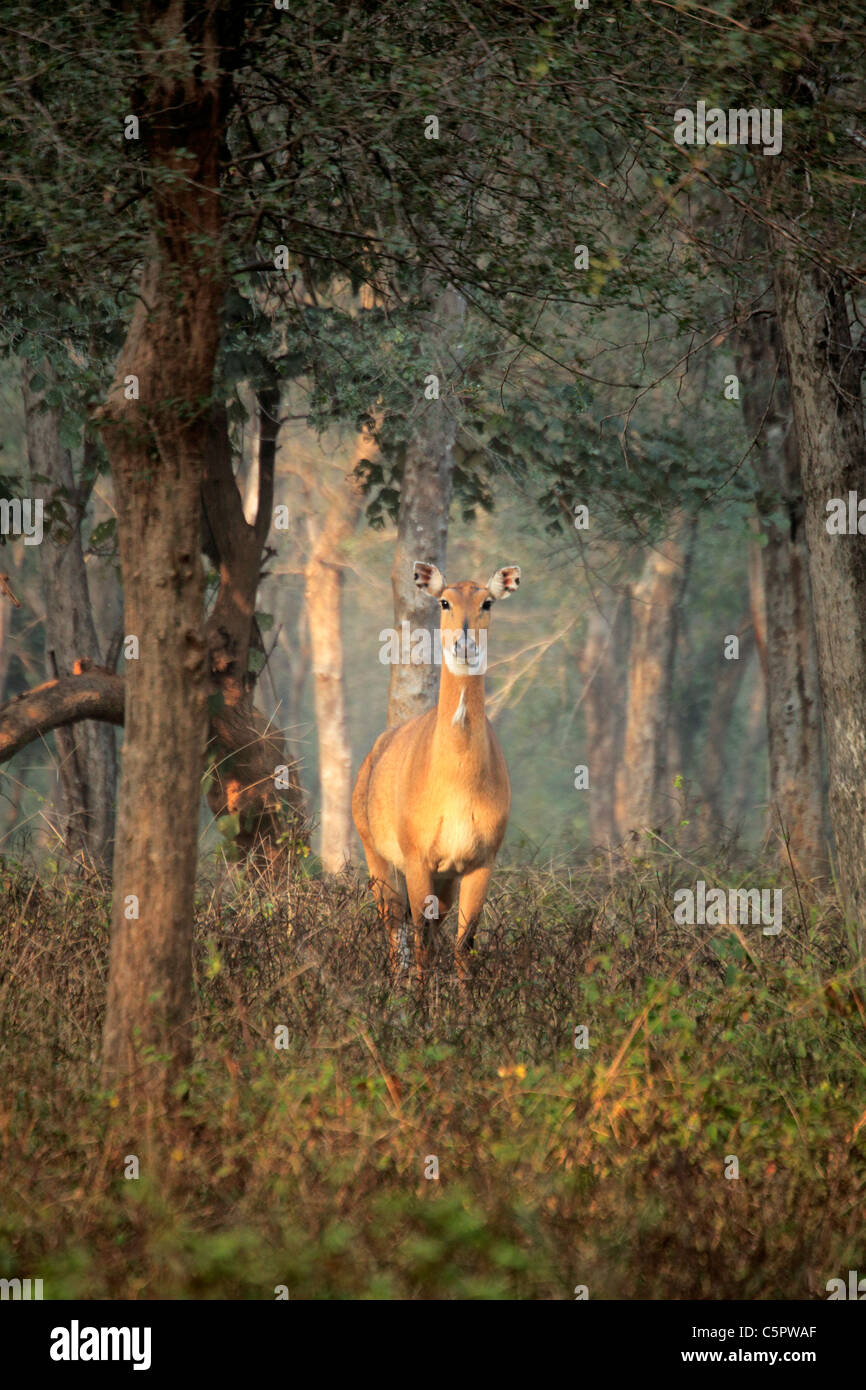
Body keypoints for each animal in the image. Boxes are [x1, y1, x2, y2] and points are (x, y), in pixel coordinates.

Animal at [353, 558, 522, 984]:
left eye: (487, 602)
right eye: (445, 601)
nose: (464, 644)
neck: (457, 782)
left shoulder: (479, 862)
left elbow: (464, 946)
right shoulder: (418, 860)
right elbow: (423, 944)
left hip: (446, 879)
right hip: (378, 858)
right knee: (396, 927)